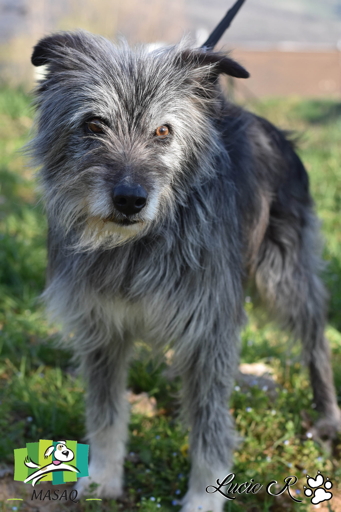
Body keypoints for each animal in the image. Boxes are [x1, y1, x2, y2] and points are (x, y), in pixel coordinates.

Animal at [29, 2, 340, 510]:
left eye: (163, 131)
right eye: (93, 124)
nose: (130, 200)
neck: (136, 245)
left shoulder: (209, 331)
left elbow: (210, 424)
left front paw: (204, 495)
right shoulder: (101, 328)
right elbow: (106, 412)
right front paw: (103, 479)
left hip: (285, 276)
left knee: (315, 338)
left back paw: (328, 413)